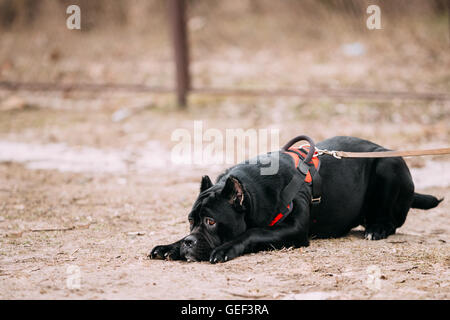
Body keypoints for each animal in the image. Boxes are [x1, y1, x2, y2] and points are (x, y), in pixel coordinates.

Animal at [150, 135, 442, 262]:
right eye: (191, 221)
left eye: (211, 222)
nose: (189, 242)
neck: (253, 193)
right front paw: (171, 246)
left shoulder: (293, 229)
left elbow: (253, 232)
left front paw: (225, 248)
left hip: (388, 165)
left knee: (392, 221)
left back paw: (377, 228)